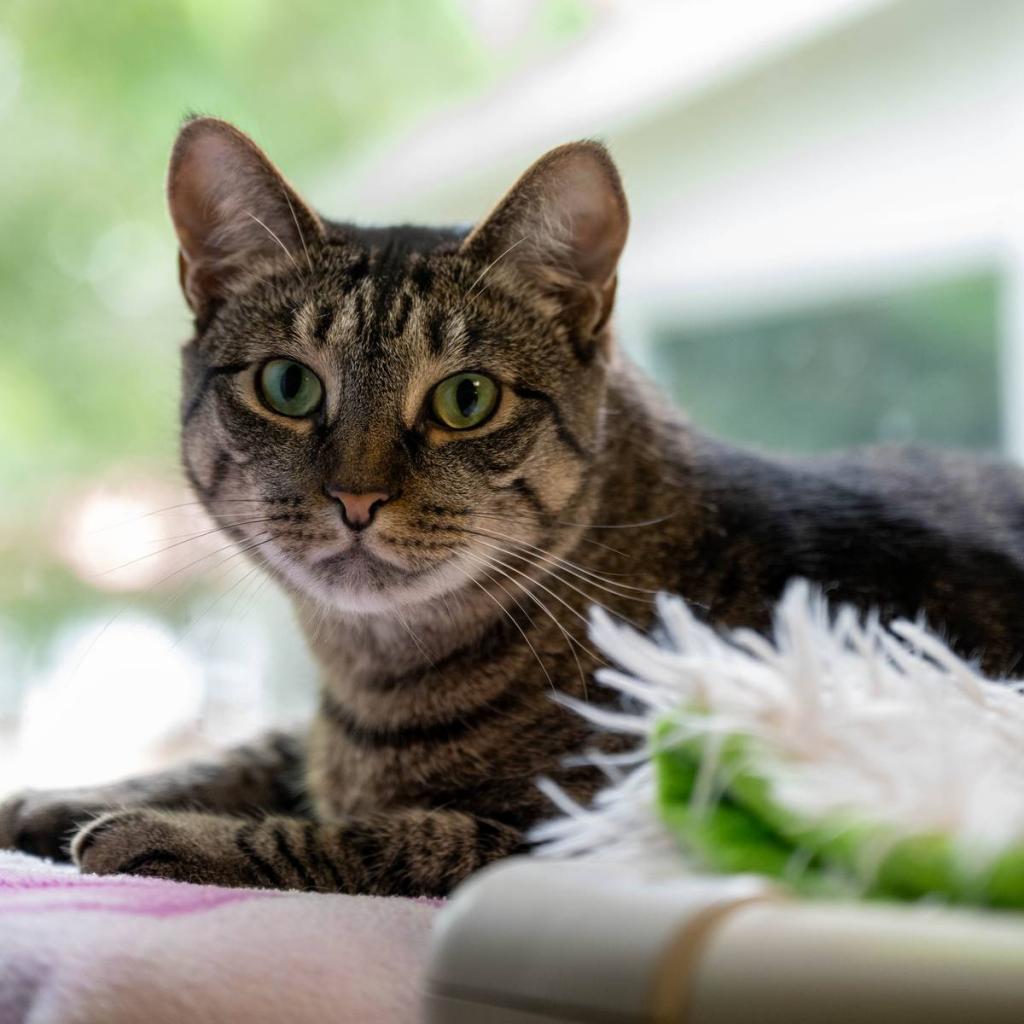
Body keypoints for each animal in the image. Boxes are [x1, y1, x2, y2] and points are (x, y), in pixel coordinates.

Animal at [2, 116, 1024, 892]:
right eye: (289, 385)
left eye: (467, 399)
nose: (356, 496)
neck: (369, 679)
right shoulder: (313, 740)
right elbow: (252, 751)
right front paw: (55, 799)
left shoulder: (575, 831)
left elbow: (383, 835)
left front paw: (154, 833)